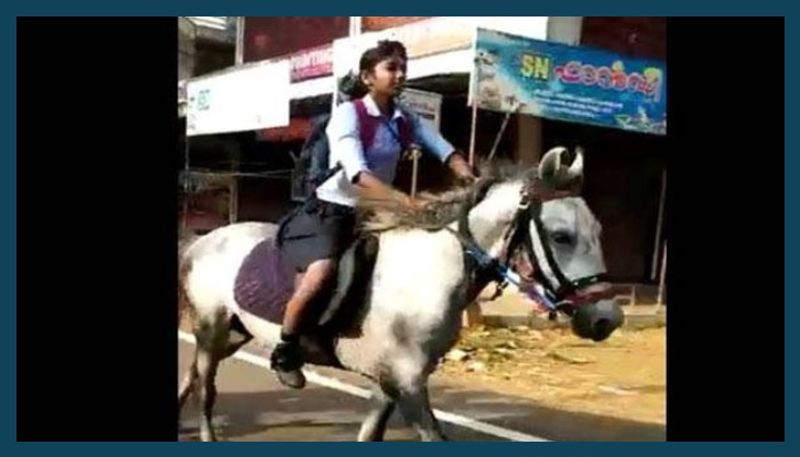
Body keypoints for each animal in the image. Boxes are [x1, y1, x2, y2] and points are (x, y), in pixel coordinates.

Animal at [178, 146, 620, 438]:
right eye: (561, 236)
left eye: (598, 231)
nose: (606, 318)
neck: (431, 273)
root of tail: (202, 241)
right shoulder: (407, 383)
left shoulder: (390, 382)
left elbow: (369, 434)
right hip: (212, 328)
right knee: (205, 388)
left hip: (236, 332)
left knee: (193, 375)